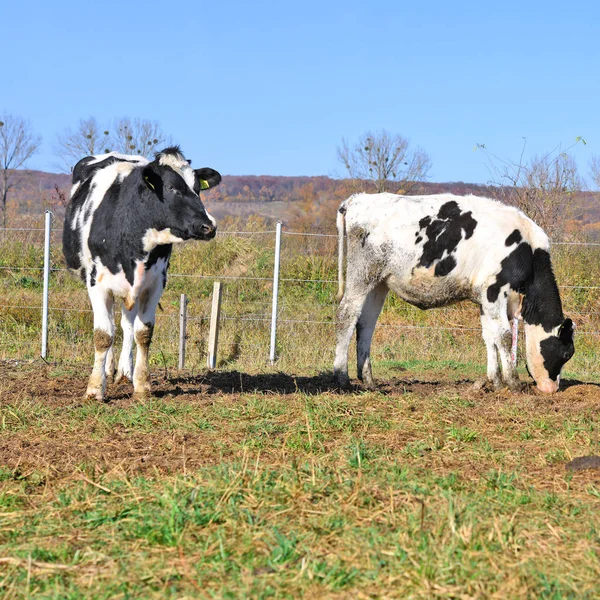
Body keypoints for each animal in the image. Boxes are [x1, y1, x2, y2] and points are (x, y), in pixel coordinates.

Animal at [62, 147, 221, 400]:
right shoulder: (96, 282)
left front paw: (142, 386)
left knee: (126, 326)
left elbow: (143, 333)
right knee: (113, 326)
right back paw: (109, 369)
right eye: (171, 187)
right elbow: (103, 335)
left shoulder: (155, 282)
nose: (209, 226)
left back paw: (124, 372)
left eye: (197, 188)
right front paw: (95, 388)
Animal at [336, 192, 576, 394]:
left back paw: (368, 379)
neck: (527, 251)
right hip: (361, 275)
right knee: (346, 314)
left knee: (366, 323)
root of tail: (357, 198)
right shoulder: (495, 291)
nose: (553, 389)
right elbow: (504, 337)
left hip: (378, 283)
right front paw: (513, 382)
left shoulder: (485, 299)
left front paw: (495, 381)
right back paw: (341, 376)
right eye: (567, 354)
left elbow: (489, 337)